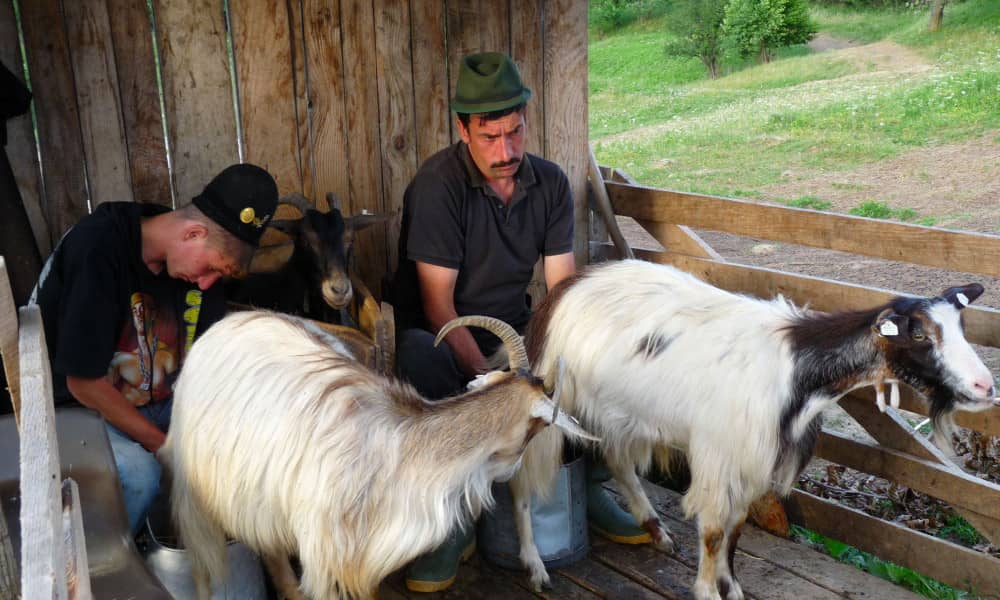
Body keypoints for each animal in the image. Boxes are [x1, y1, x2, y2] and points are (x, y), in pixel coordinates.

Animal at [158, 310, 592, 600]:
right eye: (532, 433)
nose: (512, 471)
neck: (400, 449)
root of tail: (226, 321)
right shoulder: (325, 555)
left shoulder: (363, 557)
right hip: (201, 491)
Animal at [512, 260, 996, 600]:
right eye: (919, 335)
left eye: (961, 327)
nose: (984, 386)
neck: (796, 368)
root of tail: (564, 289)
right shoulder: (719, 452)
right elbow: (713, 530)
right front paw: (707, 590)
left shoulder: (753, 457)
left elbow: (736, 526)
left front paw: (731, 585)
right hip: (548, 402)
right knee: (521, 484)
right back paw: (535, 567)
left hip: (623, 411)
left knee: (618, 461)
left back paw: (656, 531)